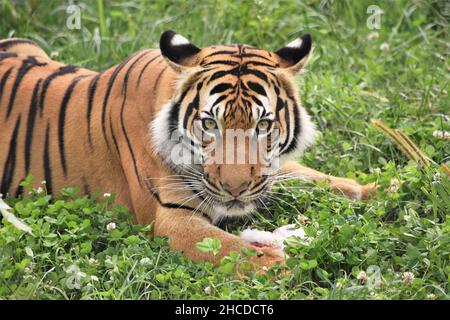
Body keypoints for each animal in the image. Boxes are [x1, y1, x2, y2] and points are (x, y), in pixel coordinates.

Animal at [0, 31, 376, 268]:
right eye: (210, 124)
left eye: (263, 126)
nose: (235, 190)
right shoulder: (173, 217)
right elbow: (232, 250)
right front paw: (286, 266)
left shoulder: (268, 173)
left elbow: (319, 178)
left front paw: (380, 190)